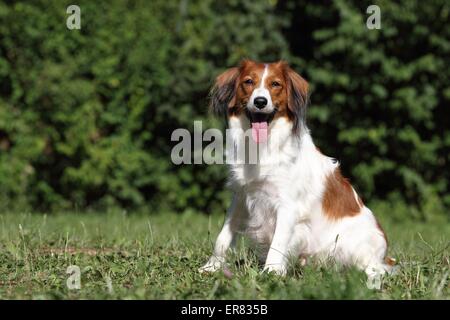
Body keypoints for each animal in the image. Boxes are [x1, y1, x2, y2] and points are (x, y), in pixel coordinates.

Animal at [200, 59, 394, 278]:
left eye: (275, 84)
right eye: (248, 82)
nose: (260, 102)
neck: (264, 147)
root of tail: (384, 254)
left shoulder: (287, 206)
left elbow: (278, 242)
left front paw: (271, 272)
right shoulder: (241, 196)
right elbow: (223, 237)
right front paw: (211, 267)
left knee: (372, 269)